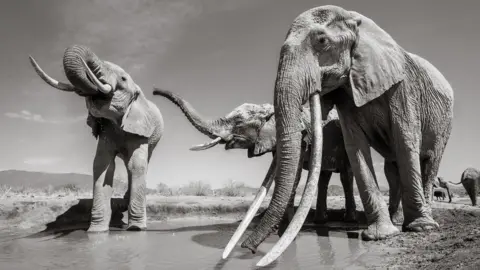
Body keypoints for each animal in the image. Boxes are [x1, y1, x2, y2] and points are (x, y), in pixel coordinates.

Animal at [30, 44, 165, 232]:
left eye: (123, 79)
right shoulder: (106, 130)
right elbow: (102, 164)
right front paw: (96, 231)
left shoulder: (140, 128)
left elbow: (136, 165)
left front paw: (136, 229)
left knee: (140, 163)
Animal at [218, 5, 454, 266]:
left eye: (322, 41)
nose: (248, 250)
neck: (358, 22)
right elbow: (355, 147)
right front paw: (380, 235)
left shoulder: (403, 88)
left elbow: (405, 139)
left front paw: (417, 229)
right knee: (390, 169)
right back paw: (395, 220)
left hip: (445, 123)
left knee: (429, 161)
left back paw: (422, 223)